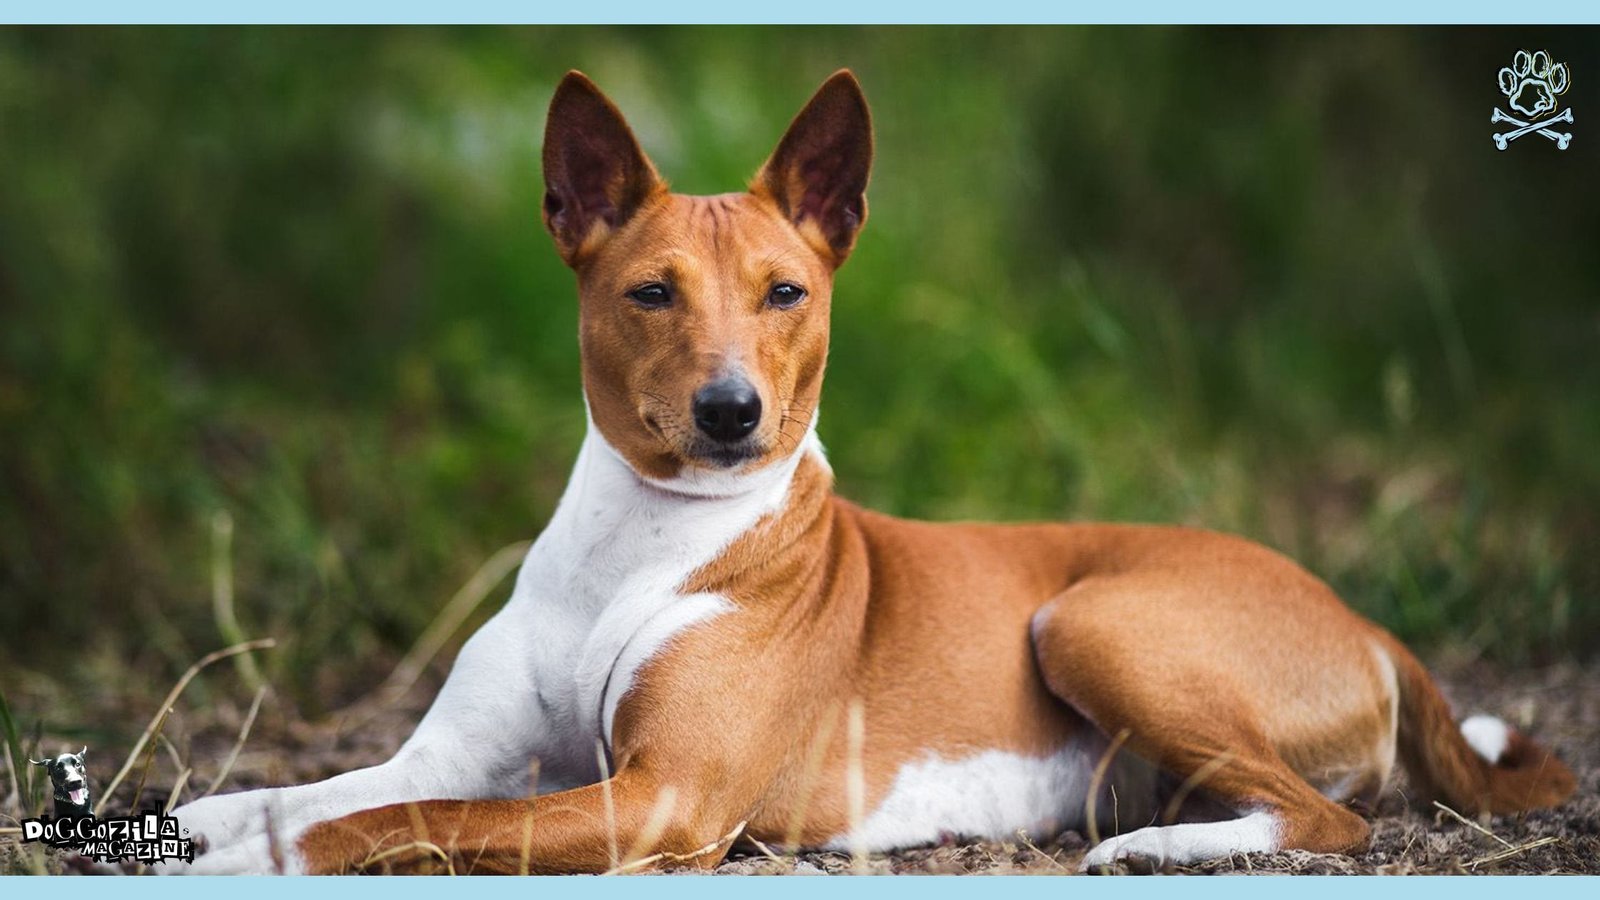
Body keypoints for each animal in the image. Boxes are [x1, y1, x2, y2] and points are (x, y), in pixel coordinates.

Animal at [168, 71, 1568, 877]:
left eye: (785, 292)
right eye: (650, 293)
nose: (731, 412)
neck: (644, 540)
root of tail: (1361, 619)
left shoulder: (663, 800)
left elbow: (378, 826)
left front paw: (248, 864)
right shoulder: (460, 759)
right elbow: (299, 796)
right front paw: (196, 830)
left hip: (1095, 619)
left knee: (1330, 819)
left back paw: (1160, 850)